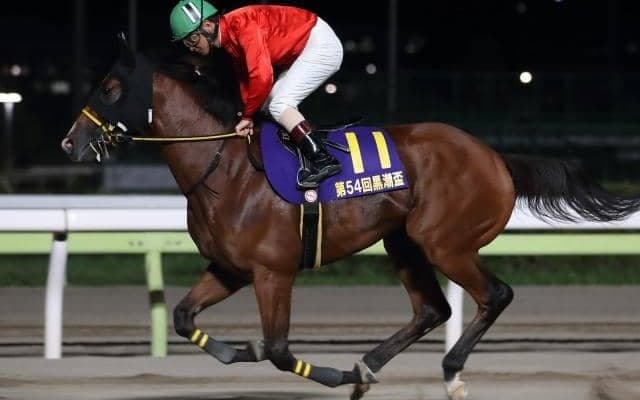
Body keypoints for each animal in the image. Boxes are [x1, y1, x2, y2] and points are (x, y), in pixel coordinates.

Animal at [60, 36, 640, 400]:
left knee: (494, 295)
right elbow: (184, 318)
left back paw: (449, 372)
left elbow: (278, 350)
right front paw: (240, 349)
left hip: (444, 241)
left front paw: (327, 371)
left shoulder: (273, 272)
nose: (70, 142)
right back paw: (368, 366)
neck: (222, 166)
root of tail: (496, 157)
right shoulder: (230, 269)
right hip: (402, 241)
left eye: (109, 88)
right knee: (432, 310)